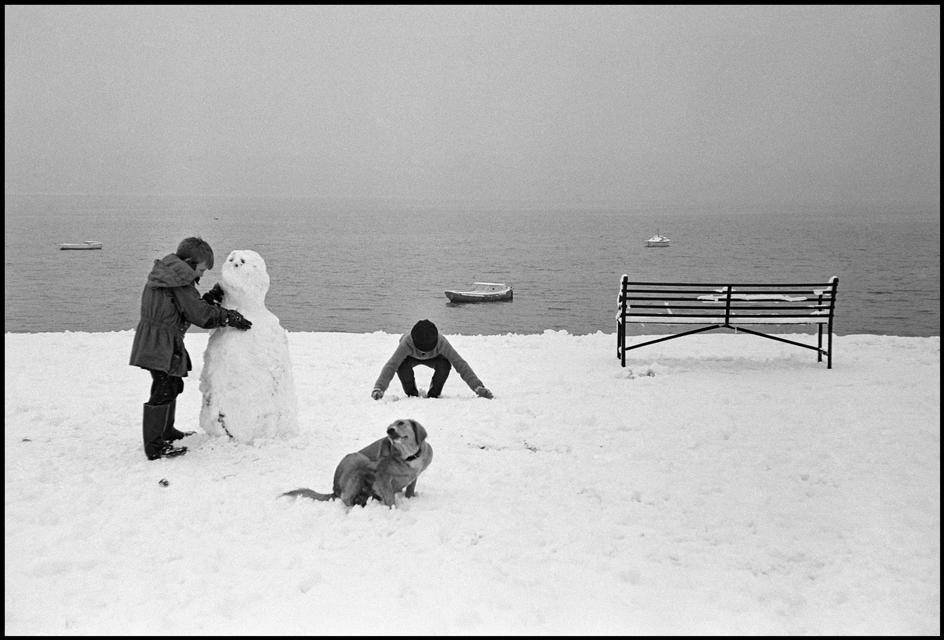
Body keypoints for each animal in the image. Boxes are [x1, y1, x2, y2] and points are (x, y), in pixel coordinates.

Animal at [282, 418, 434, 508]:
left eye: (401, 423)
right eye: (389, 426)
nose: (389, 430)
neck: (409, 456)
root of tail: (334, 490)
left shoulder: (415, 475)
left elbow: (410, 489)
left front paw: (410, 497)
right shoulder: (382, 478)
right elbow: (390, 498)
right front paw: (393, 511)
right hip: (358, 458)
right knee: (345, 498)